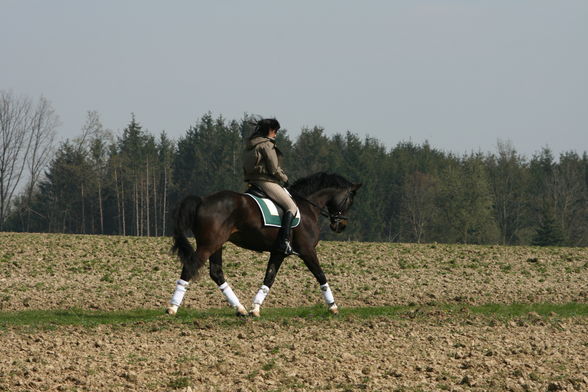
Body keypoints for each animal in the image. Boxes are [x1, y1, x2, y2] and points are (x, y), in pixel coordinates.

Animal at [167, 172, 362, 316]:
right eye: (350, 200)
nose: (341, 226)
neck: (307, 207)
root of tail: (202, 200)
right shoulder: (307, 251)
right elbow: (321, 275)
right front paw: (333, 306)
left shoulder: (279, 252)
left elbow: (269, 277)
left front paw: (255, 308)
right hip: (208, 245)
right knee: (190, 266)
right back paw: (172, 308)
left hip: (216, 245)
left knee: (216, 273)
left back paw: (240, 309)